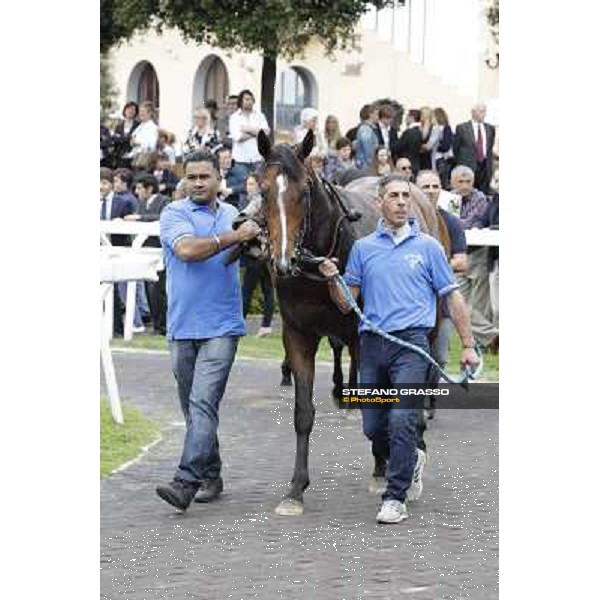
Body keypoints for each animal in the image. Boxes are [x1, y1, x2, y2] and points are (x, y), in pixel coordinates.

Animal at [256, 131, 380, 516]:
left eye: (305, 190)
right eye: (263, 190)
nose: (283, 262)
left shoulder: (362, 334)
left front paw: (382, 470)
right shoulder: (298, 333)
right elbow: (302, 412)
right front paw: (295, 489)